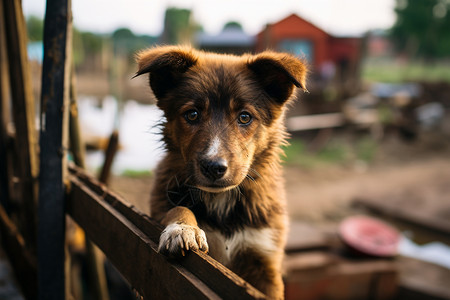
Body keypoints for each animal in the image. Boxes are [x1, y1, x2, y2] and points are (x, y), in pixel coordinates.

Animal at [135, 45, 308, 298]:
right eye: (192, 114)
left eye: (244, 117)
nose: (213, 167)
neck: (221, 200)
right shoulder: (159, 207)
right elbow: (178, 207)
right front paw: (182, 229)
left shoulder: (264, 260)